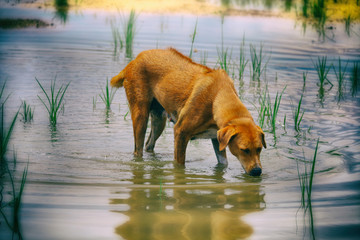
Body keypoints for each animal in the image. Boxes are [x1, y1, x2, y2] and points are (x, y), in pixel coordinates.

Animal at [111, 48, 266, 176]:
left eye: (259, 149)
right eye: (244, 149)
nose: (257, 171)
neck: (218, 96)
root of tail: (134, 60)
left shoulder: (217, 138)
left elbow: (223, 164)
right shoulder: (180, 132)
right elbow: (179, 165)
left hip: (159, 120)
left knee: (149, 145)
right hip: (140, 115)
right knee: (138, 150)